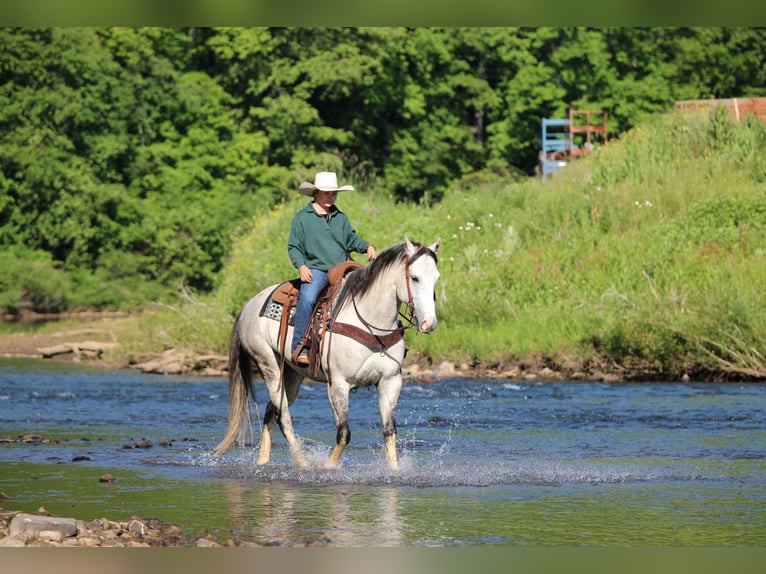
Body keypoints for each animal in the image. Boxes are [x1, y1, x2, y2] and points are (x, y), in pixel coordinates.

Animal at [213, 237, 441, 470]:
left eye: (436, 278)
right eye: (414, 277)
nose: (429, 323)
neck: (371, 323)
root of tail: (247, 307)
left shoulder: (391, 381)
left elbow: (389, 431)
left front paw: (394, 469)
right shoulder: (338, 384)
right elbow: (344, 433)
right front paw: (328, 467)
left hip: (292, 374)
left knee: (271, 413)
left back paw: (263, 461)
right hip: (269, 365)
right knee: (283, 416)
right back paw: (303, 464)